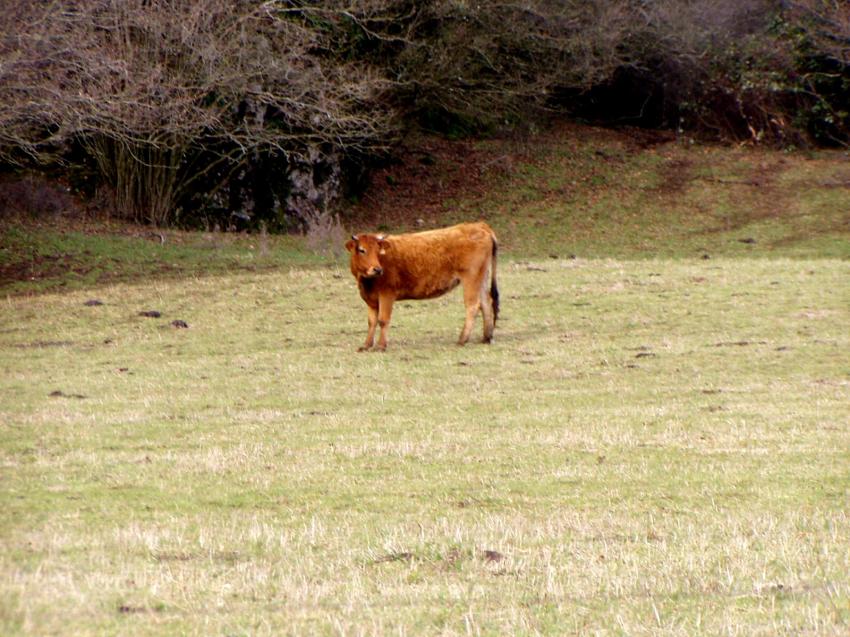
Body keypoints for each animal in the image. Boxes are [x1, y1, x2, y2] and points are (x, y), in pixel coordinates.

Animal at [345, 221, 499, 351]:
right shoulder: (371, 300)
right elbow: (371, 322)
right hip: (481, 277)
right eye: (362, 250)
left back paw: (463, 339)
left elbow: (383, 320)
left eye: (378, 250)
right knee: (486, 302)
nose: (377, 269)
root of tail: (479, 225)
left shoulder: (387, 294)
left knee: (473, 306)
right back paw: (487, 337)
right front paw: (366, 345)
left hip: (471, 278)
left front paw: (381, 346)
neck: (366, 282)